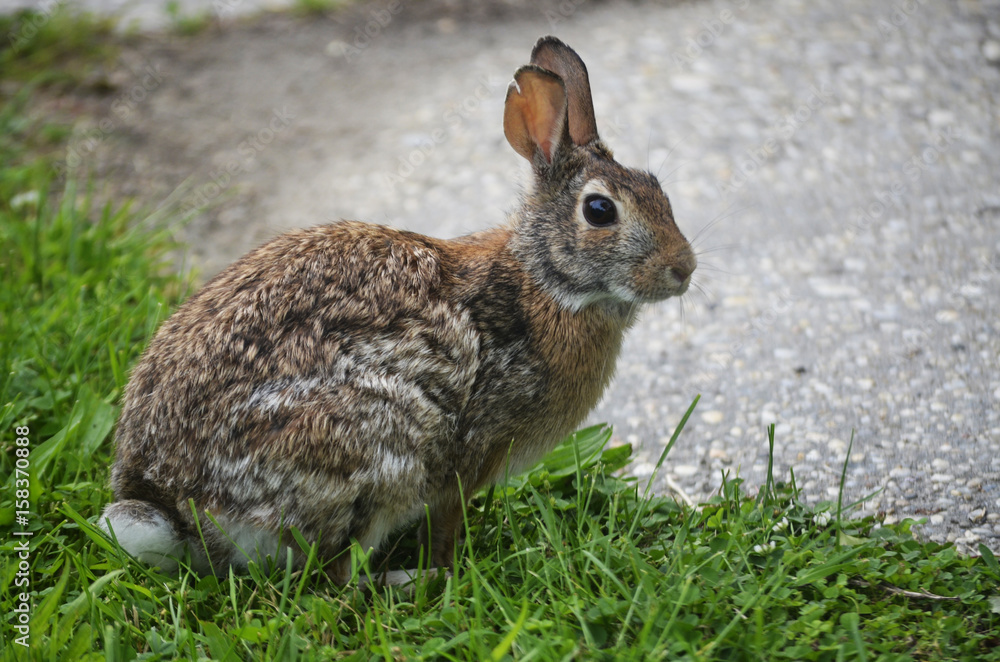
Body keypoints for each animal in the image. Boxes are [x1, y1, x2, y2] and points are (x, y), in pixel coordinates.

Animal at [100, 36, 697, 585]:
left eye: (659, 189)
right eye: (599, 210)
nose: (684, 269)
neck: (542, 281)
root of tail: (174, 506)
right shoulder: (471, 453)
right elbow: (449, 519)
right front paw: (450, 568)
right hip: (379, 448)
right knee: (337, 577)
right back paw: (408, 580)